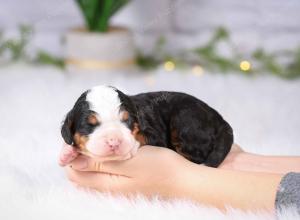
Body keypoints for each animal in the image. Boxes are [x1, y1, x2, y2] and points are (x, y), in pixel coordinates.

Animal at [61, 85, 233, 167]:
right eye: (89, 125)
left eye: (127, 121)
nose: (114, 141)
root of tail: (219, 118)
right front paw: (67, 153)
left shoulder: (155, 134)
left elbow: (141, 138)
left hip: (185, 122)